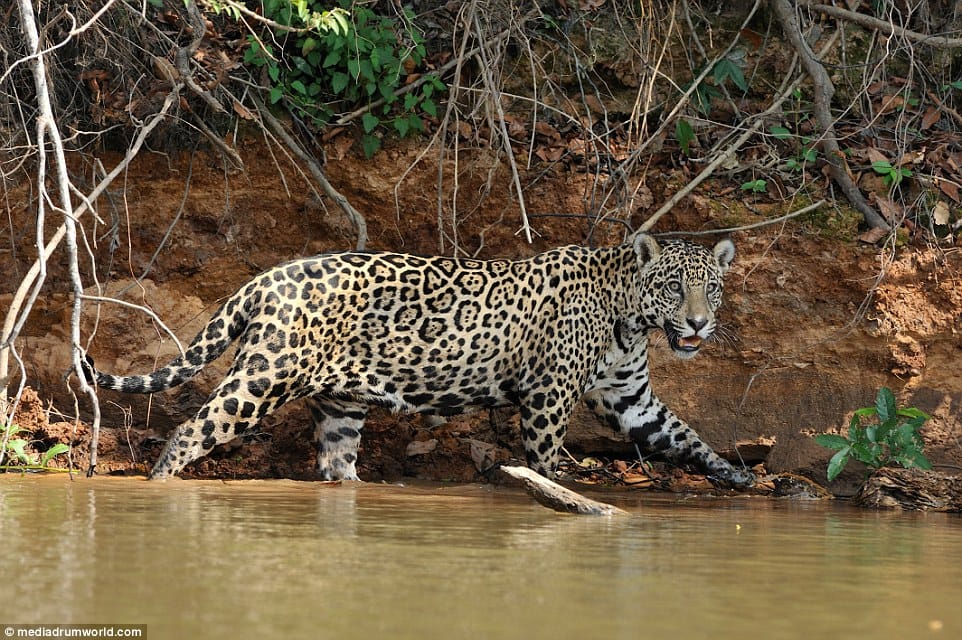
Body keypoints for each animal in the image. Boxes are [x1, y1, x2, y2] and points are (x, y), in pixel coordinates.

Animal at [83, 232, 755, 488]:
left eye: (711, 288)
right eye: (674, 286)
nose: (699, 323)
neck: (630, 319)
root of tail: (266, 278)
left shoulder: (628, 396)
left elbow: (681, 432)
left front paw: (734, 473)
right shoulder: (549, 396)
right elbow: (544, 456)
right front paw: (556, 490)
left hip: (339, 403)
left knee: (335, 463)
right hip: (264, 377)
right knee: (192, 428)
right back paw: (158, 487)